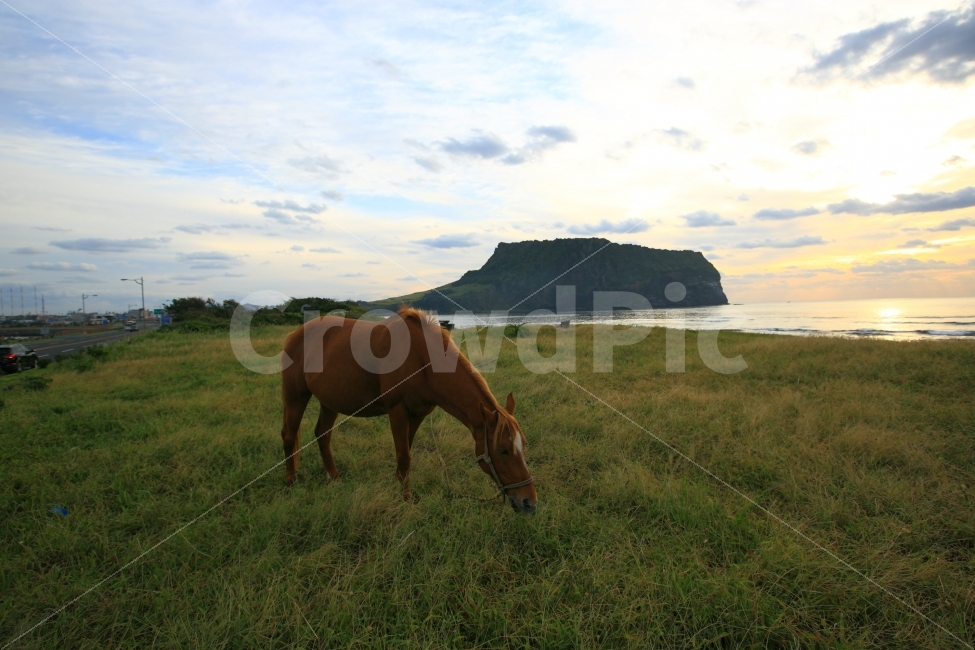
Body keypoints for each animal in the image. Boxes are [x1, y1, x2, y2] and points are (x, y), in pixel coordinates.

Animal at [280, 307, 538, 514]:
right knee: (289, 435)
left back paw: (333, 477)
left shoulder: (418, 414)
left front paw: (400, 490)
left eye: (523, 445)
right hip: (295, 396)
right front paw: (406, 500)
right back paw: (291, 482)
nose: (529, 502)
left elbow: (406, 453)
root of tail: (296, 334)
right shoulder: (398, 411)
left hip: (330, 401)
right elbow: (404, 456)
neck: (422, 359)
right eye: (502, 450)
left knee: (323, 435)